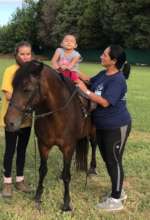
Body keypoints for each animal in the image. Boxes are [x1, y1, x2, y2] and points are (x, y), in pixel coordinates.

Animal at [4, 60, 97, 211]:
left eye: (27, 89)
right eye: (13, 86)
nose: (9, 122)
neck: (57, 115)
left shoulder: (68, 147)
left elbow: (67, 176)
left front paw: (66, 203)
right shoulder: (44, 145)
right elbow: (42, 170)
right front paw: (38, 196)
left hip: (93, 132)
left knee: (94, 146)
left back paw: (93, 169)